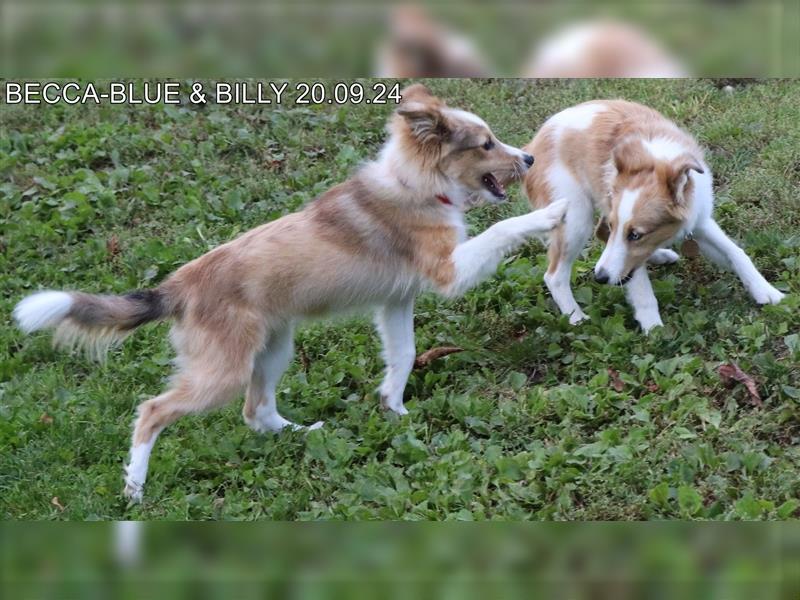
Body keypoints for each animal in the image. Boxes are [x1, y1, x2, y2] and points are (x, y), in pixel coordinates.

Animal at [9, 82, 564, 500]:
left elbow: (403, 355)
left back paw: (306, 434)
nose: (530, 158)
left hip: (274, 348)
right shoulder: (448, 272)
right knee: (152, 412)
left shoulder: (395, 300)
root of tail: (176, 287)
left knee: (255, 411)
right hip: (223, 371)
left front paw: (395, 408)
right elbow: (503, 228)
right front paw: (549, 213)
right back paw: (135, 488)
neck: (417, 183)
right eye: (485, 144)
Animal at [520, 99, 784, 332]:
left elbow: (737, 253)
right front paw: (654, 329)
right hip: (574, 218)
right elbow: (640, 287)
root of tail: (529, 149)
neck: (657, 159)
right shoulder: (625, 253)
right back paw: (576, 318)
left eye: (636, 235)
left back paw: (660, 255)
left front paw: (766, 290)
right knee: (554, 276)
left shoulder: (698, 219)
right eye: (617, 227)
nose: (600, 278)